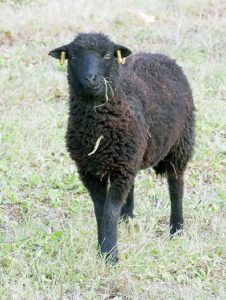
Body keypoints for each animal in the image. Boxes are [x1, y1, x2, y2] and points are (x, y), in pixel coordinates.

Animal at [48, 32, 195, 262]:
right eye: (73, 57)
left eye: (108, 55)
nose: (90, 79)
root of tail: (159, 55)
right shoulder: (90, 170)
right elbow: (100, 209)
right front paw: (102, 249)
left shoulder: (120, 168)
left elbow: (109, 210)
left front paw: (111, 255)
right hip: (130, 156)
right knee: (133, 185)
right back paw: (127, 218)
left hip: (180, 144)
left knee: (176, 185)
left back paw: (176, 228)